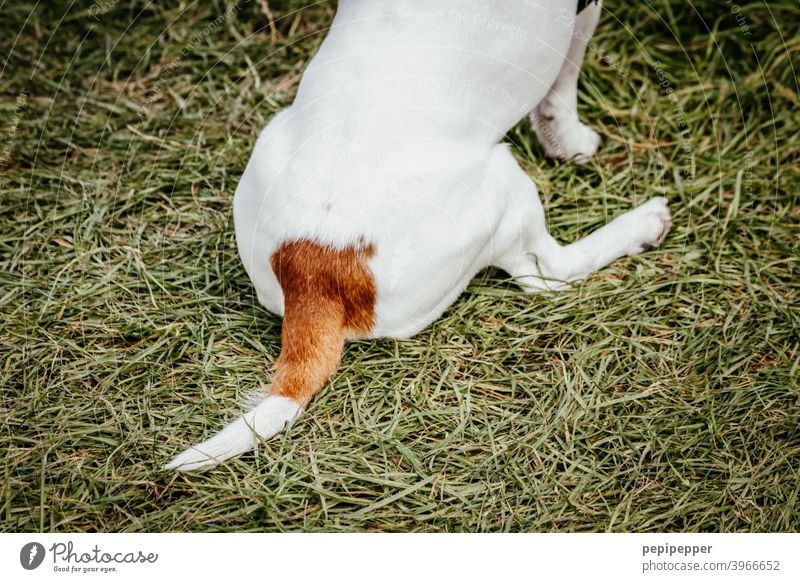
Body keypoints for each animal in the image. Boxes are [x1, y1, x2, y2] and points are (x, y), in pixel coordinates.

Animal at [167, 0, 668, 472]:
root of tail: (311, 268)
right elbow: (563, 85)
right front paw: (572, 142)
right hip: (504, 189)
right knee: (548, 274)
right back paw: (643, 224)